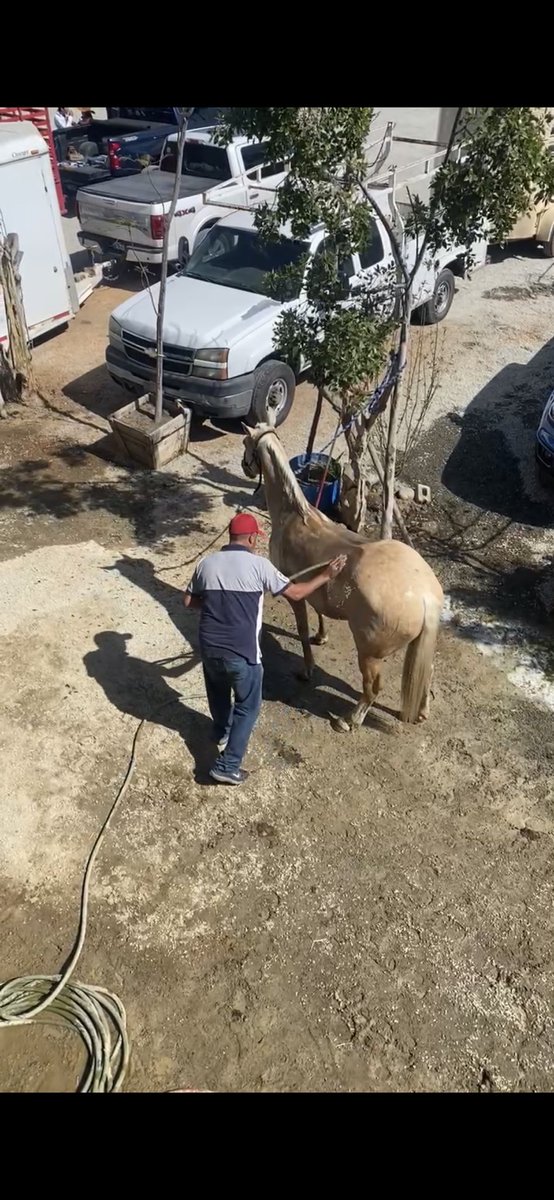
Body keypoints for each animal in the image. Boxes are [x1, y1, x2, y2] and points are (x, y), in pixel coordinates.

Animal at [241, 419, 444, 729]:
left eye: (246, 443)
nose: (245, 466)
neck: (295, 515)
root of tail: (424, 596)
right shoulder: (313, 589)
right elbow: (320, 612)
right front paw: (322, 636)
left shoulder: (293, 593)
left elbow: (302, 631)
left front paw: (307, 669)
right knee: (429, 672)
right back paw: (421, 713)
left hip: (369, 655)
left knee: (373, 688)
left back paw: (349, 720)